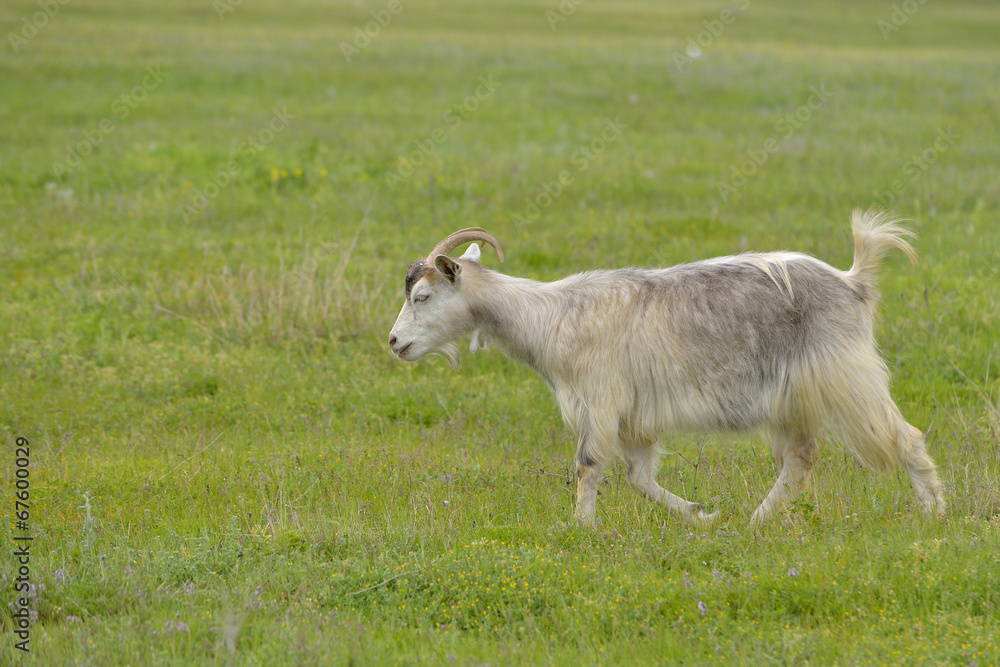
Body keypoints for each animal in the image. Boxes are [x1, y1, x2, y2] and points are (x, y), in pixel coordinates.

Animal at [388, 211, 944, 524]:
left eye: (423, 296)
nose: (394, 342)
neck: (551, 315)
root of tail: (854, 281)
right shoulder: (635, 415)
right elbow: (638, 477)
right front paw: (702, 515)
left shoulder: (602, 399)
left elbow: (588, 465)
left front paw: (581, 527)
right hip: (793, 398)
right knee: (802, 456)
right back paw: (757, 521)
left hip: (846, 378)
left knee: (906, 438)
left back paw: (936, 516)